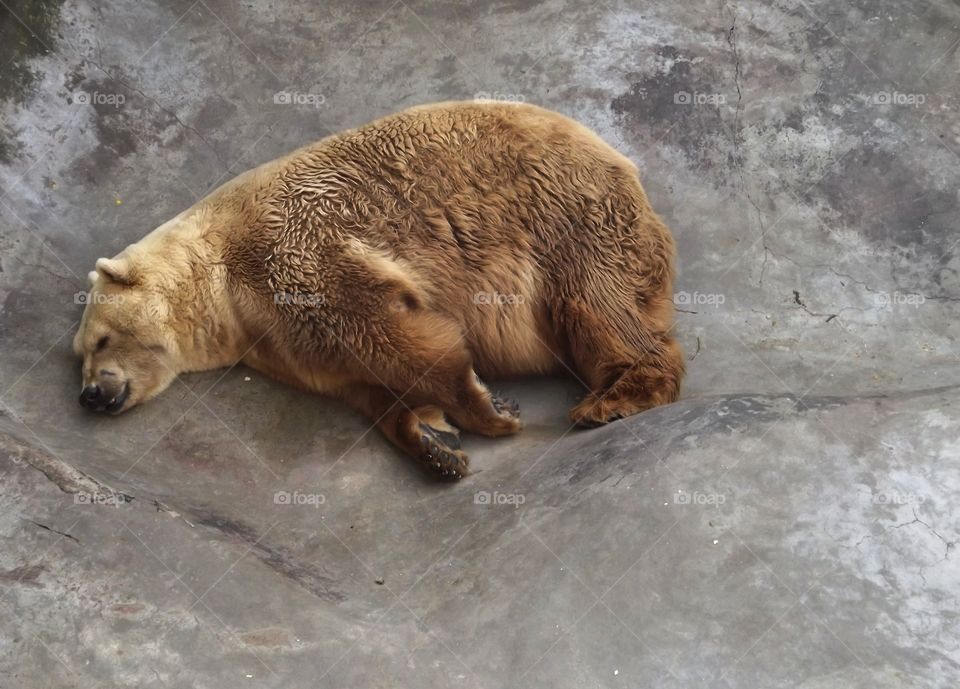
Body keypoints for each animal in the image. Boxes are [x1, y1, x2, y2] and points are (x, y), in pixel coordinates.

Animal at [73, 101, 684, 479]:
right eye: (80, 353)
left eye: (98, 341)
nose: (91, 395)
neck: (219, 280)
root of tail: (623, 163)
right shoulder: (279, 343)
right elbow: (365, 383)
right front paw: (435, 443)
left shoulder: (290, 247)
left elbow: (381, 327)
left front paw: (489, 408)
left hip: (564, 214)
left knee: (596, 302)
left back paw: (612, 398)